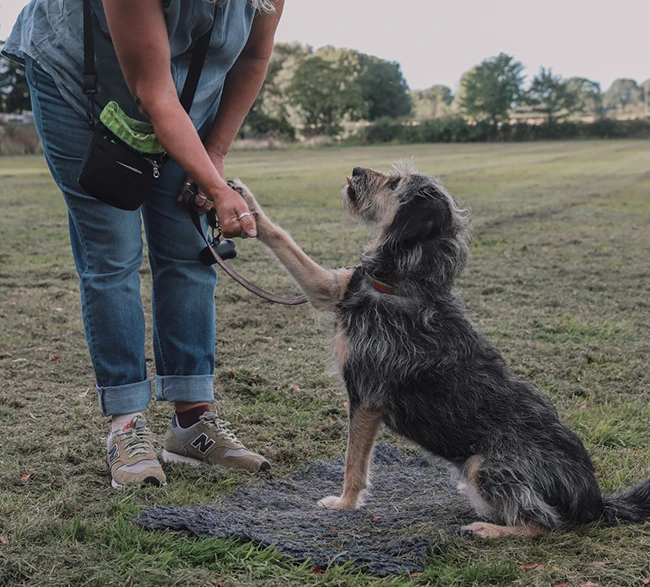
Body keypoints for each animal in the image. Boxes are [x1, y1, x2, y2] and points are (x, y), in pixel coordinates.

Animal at [230, 163, 648, 540]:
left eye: (395, 183)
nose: (356, 169)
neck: (401, 281)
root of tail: (594, 500)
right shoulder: (330, 288)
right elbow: (281, 236)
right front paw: (243, 200)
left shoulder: (365, 398)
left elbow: (354, 463)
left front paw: (345, 504)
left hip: (486, 465)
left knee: (545, 524)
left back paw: (487, 530)